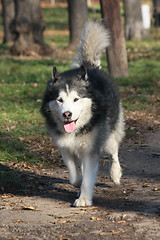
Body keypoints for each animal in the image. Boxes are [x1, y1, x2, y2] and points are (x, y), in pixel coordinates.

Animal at [41, 21, 125, 207]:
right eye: (60, 100)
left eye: (76, 99)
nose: (67, 114)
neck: (78, 128)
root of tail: (91, 67)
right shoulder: (65, 148)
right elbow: (75, 176)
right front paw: (78, 185)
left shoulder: (91, 149)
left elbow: (88, 177)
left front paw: (84, 198)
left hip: (108, 137)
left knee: (114, 152)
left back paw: (115, 174)